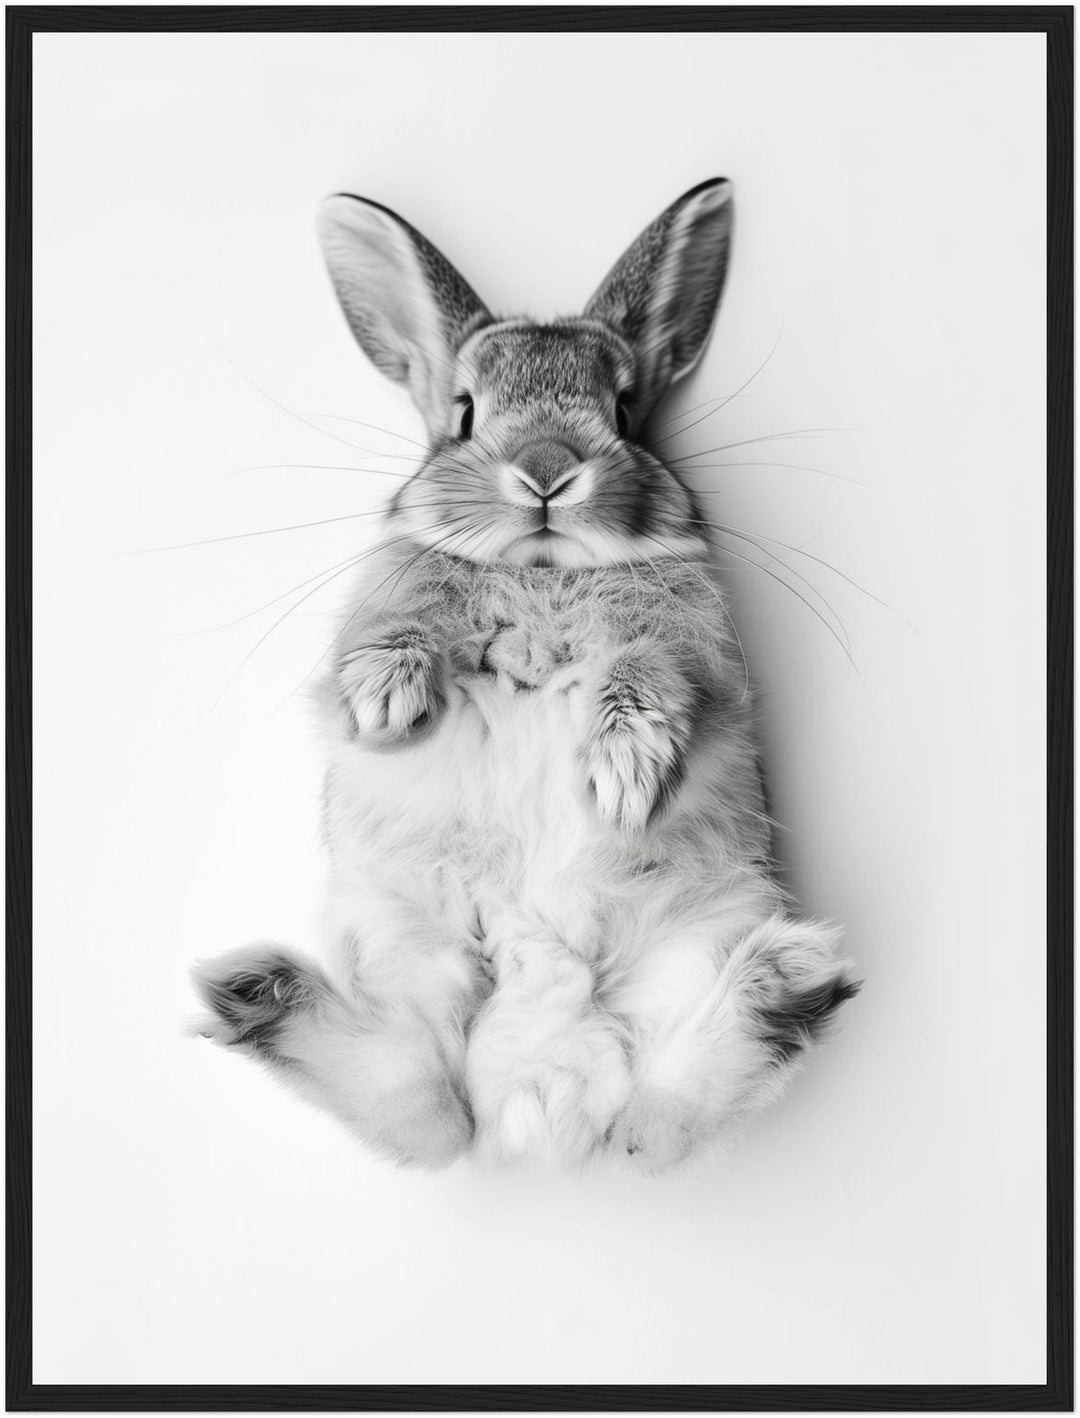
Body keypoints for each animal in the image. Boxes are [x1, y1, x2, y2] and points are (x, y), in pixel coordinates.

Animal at [192, 178, 859, 1173]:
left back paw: (787, 979)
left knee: (655, 1116)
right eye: (465, 411)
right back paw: (252, 989)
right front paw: (385, 703)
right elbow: (389, 634)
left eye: (625, 411)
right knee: (421, 1107)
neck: (544, 570)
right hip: (403, 942)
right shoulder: (383, 602)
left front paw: (623, 775)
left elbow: (652, 676)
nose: (547, 470)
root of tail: (538, 1091)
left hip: (695, 935)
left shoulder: (694, 650)